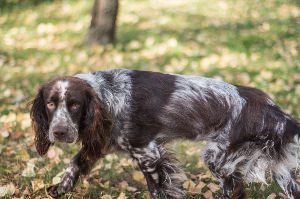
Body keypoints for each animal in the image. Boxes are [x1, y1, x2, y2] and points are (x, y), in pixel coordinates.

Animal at [31, 69, 300, 199]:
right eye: (50, 104)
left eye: (75, 105)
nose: (59, 132)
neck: (107, 94)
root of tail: (271, 108)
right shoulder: (102, 141)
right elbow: (75, 164)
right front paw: (60, 189)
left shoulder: (147, 152)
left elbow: (158, 189)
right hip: (277, 169)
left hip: (218, 157)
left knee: (234, 191)